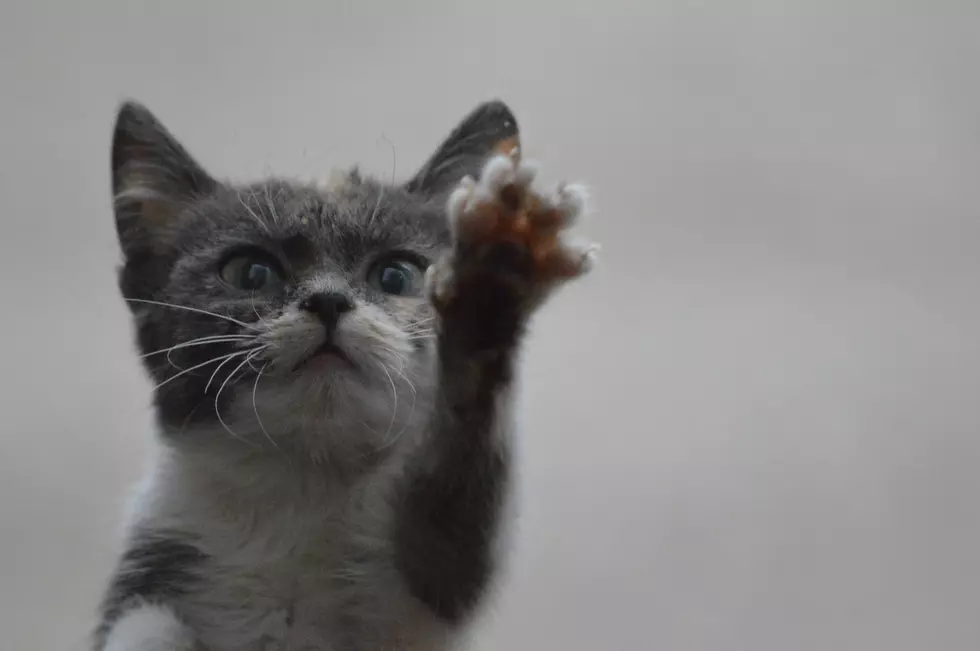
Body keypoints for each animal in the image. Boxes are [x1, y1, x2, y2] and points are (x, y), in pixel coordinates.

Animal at [95, 98, 596, 651]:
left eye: (396, 275)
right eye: (251, 272)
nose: (329, 301)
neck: (306, 480)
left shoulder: (424, 588)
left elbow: (454, 534)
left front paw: (492, 279)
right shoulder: (161, 550)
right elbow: (146, 626)